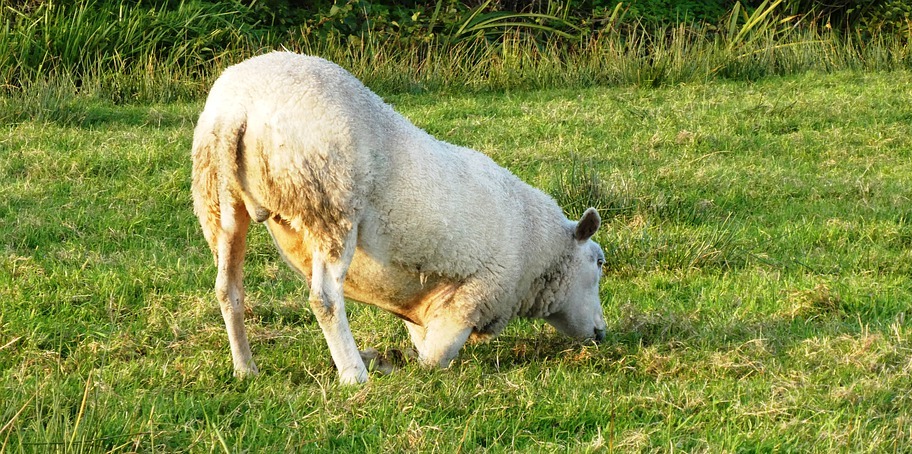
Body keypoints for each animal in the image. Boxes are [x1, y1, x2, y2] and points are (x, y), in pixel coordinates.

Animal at [191, 52, 604, 386]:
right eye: (599, 263)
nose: (601, 333)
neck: (538, 253)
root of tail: (238, 109)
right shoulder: (474, 296)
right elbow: (432, 361)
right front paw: (383, 362)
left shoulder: (430, 301)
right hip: (329, 202)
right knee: (324, 298)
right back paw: (353, 374)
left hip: (218, 201)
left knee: (227, 289)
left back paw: (245, 368)